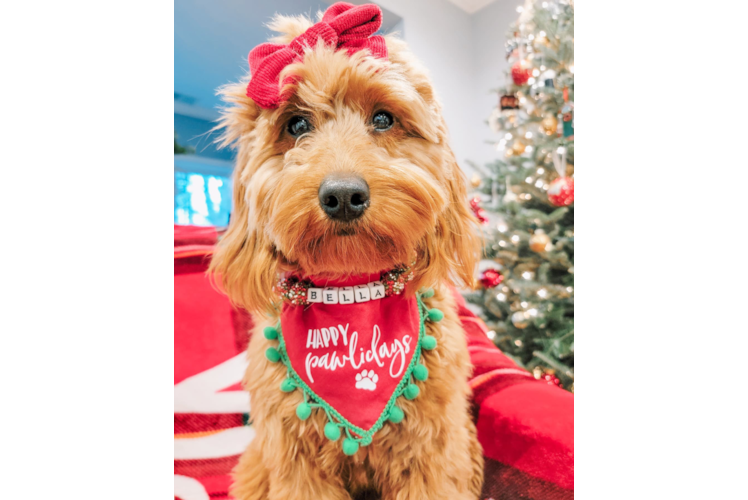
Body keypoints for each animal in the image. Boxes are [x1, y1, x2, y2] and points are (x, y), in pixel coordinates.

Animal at [209, 1, 486, 498]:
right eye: (296, 124)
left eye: (383, 118)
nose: (342, 195)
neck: (352, 292)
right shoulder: (295, 462)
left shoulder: (433, 452)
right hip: (255, 466)